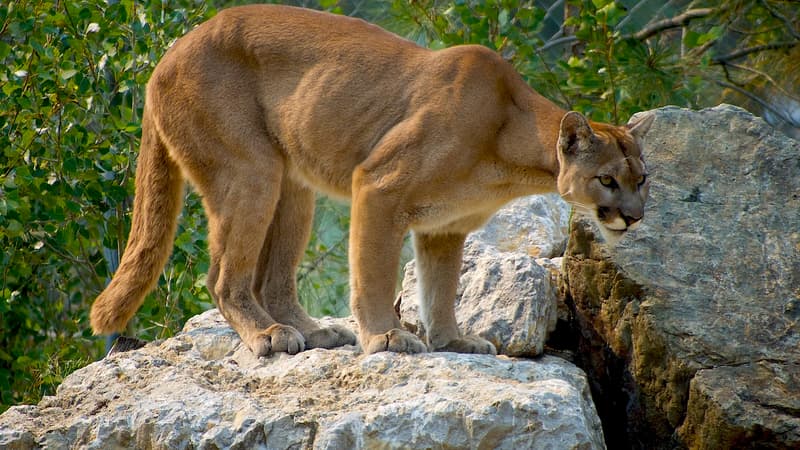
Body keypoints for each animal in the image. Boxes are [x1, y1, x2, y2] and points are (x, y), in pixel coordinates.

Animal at [89, 3, 648, 356]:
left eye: (642, 180)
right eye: (607, 181)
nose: (635, 218)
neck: (511, 150)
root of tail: (166, 56)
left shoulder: (444, 227)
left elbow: (441, 288)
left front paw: (451, 340)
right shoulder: (380, 187)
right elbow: (374, 273)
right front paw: (386, 337)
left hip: (294, 186)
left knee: (273, 276)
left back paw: (311, 331)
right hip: (251, 172)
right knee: (224, 277)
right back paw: (268, 335)